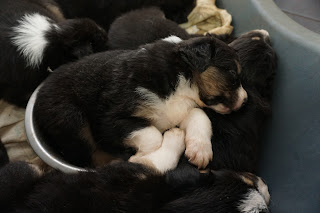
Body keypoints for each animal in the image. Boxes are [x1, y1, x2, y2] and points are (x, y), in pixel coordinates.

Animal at [33, 35, 248, 171]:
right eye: (233, 74)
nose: (245, 100)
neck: (179, 83)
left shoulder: (179, 110)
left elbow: (200, 115)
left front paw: (200, 151)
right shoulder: (110, 120)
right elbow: (153, 136)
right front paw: (141, 156)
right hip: (72, 118)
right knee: (96, 157)